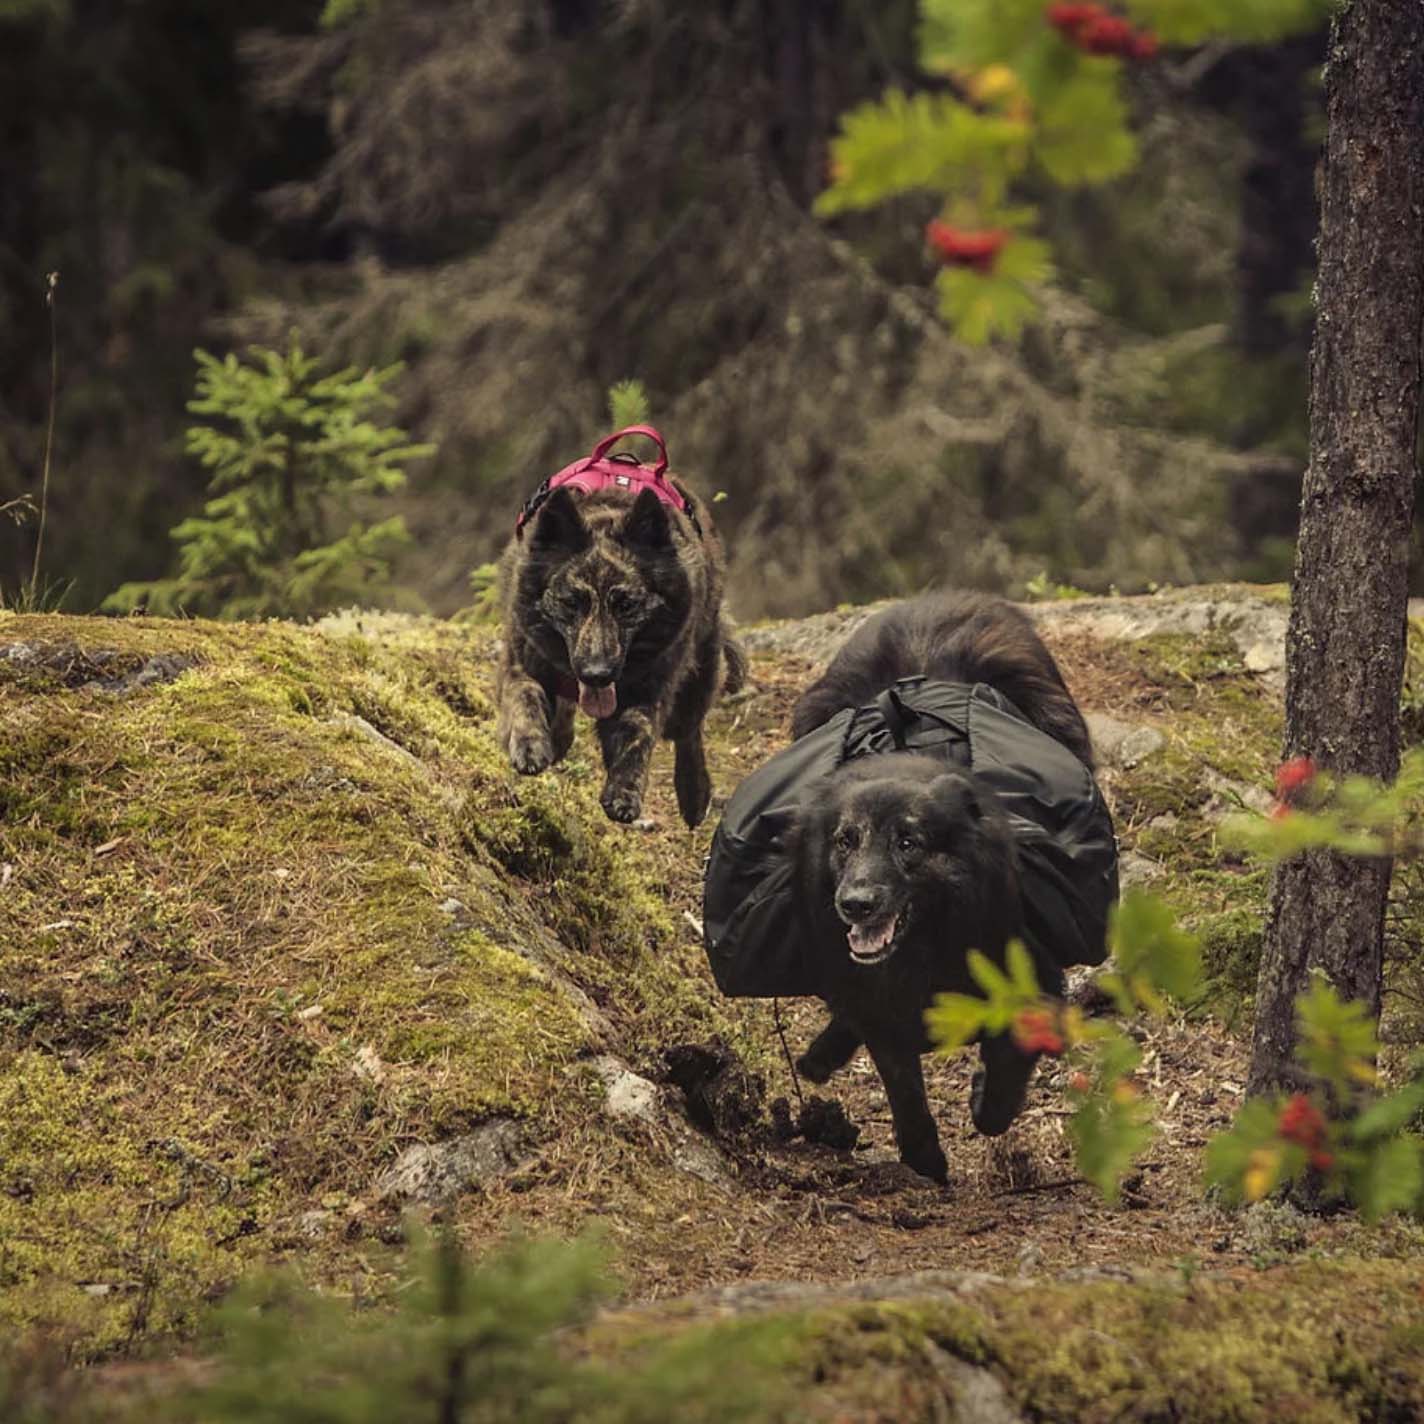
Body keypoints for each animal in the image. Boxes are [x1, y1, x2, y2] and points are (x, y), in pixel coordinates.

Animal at [791, 589, 1087, 1179]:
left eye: (909, 843)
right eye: (845, 841)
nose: (854, 905)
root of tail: (936, 601)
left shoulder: (1030, 976)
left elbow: (1002, 1085)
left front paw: (982, 1097)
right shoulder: (880, 1004)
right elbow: (902, 1085)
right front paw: (923, 1157)